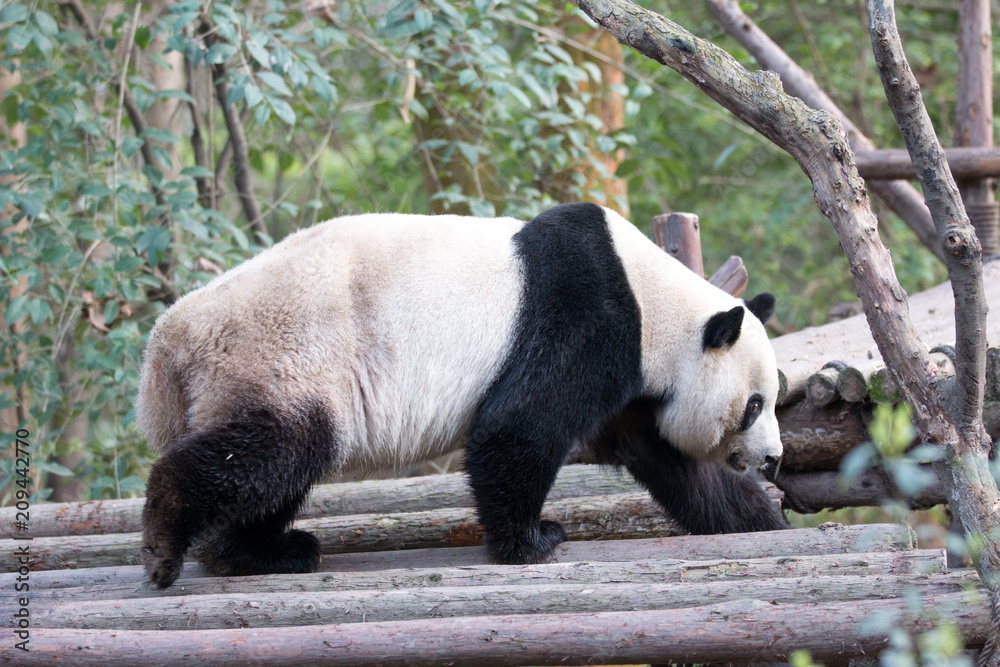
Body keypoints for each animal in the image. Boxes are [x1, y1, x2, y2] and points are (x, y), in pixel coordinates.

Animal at [135, 202, 788, 588]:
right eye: (755, 404)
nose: (774, 458)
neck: (656, 300)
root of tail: (168, 349)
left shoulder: (635, 386)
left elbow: (673, 462)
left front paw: (762, 518)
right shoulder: (587, 316)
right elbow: (518, 427)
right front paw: (533, 541)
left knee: (274, 469)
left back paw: (258, 552)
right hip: (287, 352)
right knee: (275, 448)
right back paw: (170, 543)